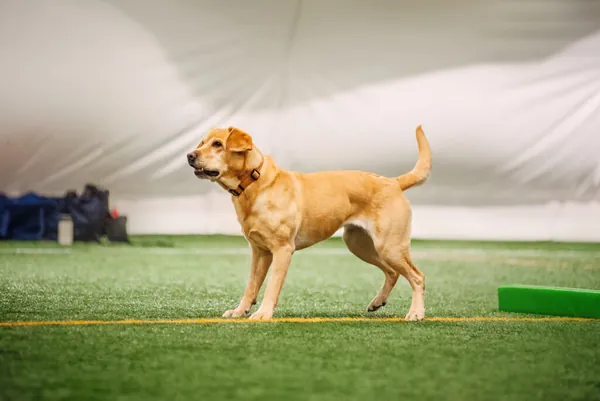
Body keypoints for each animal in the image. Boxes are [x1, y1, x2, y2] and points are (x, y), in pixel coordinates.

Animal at [187, 125, 431, 320]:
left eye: (218, 144)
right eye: (202, 142)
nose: (189, 155)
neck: (254, 184)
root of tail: (393, 182)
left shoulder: (282, 250)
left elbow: (271, 286)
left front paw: (263, 314)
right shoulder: (259, 251)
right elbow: (251, 286)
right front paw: (239, 311)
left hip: (389, 246)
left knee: (417, 276)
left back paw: (416, 313)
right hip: (359, 244)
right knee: (392, 272)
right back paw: (377, 302)